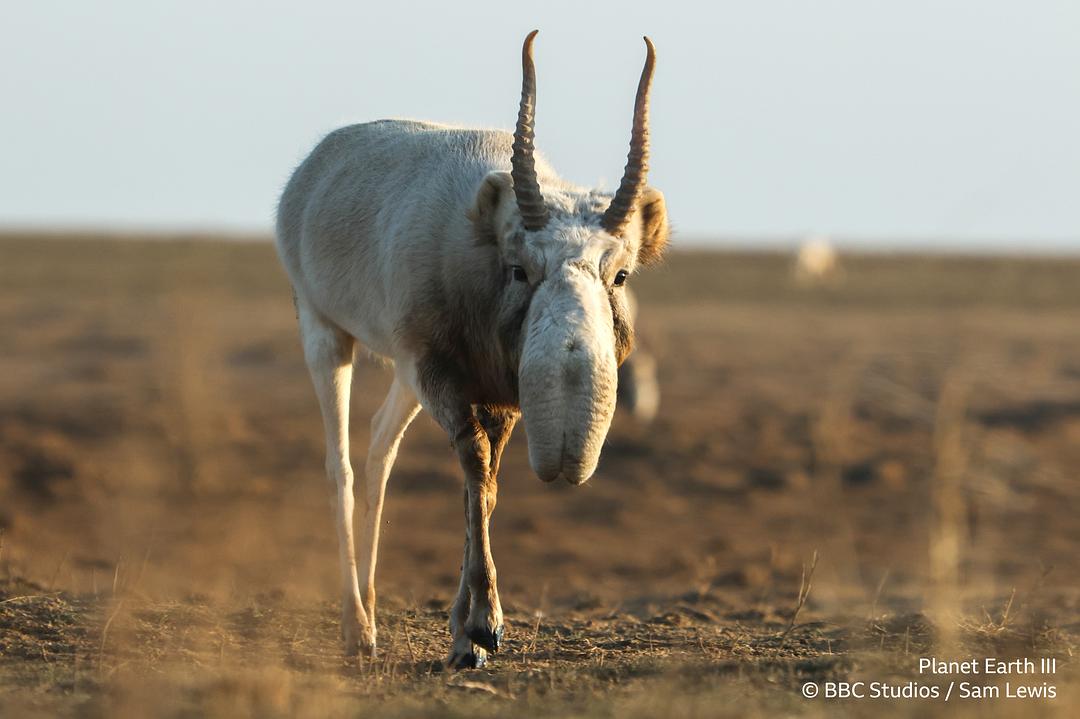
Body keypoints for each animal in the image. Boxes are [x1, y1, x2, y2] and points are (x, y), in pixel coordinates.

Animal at [274, 29, 669, 665]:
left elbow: (484, 484)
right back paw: (356, 628)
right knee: (341, 464)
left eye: (622, 274)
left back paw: (372, 614)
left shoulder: (496, 393)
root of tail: (315, 166)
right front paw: (482, 628)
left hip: (404, 376)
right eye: (519, 268)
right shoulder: (439, 373)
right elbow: (474, 462)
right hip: (325, 332)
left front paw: (466, 634)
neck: (479, 238)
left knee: (379, 448)